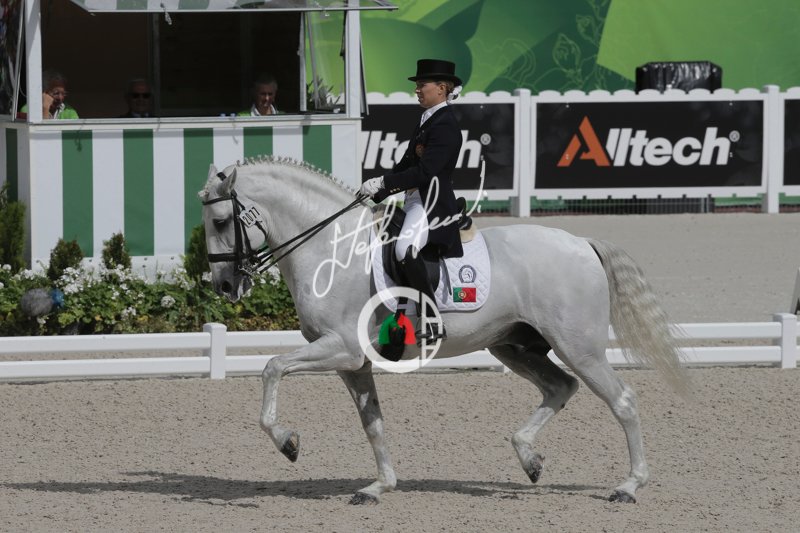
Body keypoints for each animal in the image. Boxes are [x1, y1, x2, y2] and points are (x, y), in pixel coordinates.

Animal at [199, 156, 690, 505]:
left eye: (221, 222)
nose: (224, 285)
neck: (331, 250)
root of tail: (582, 244)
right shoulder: (353, 363)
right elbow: (372, 422)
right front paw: (379, 487)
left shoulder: (340, 348)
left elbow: (272, 367)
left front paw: (288, 443)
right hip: (514, 346)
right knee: (559, 387)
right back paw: (529, 458)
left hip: (578, 346)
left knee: (621, 400)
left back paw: (628, 486)